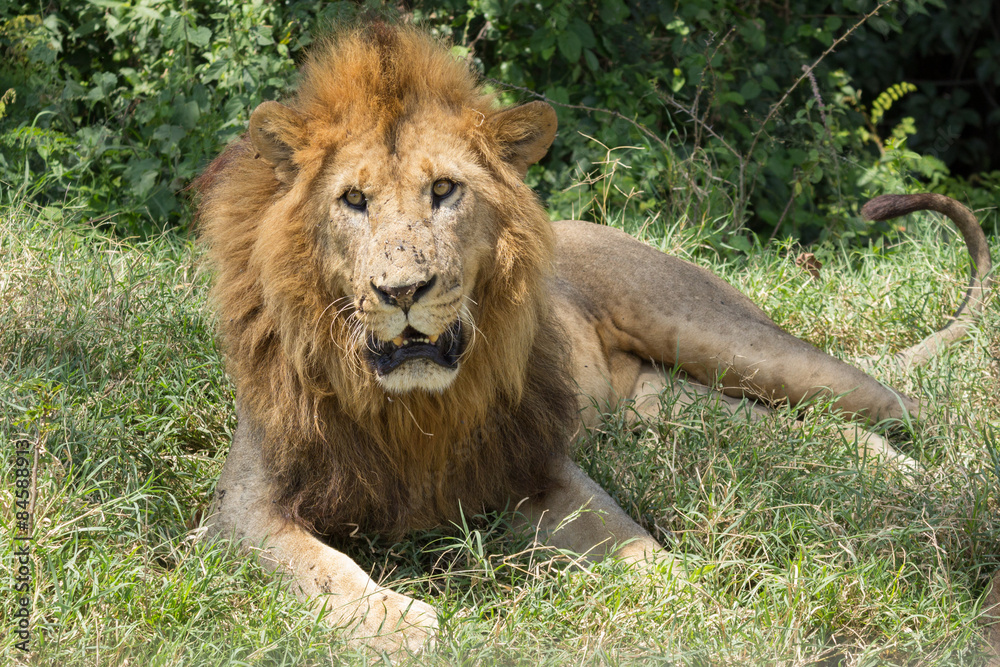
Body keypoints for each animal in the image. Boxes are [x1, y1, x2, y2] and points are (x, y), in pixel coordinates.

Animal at [194, 24, 992, 655]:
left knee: (905, 403)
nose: (403, 292)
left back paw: (953, 488)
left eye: (444, 191)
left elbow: (626, 536)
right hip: (676, 411)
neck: (412, 409)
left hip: (732, 341)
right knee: (816, 432)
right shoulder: (240, 510)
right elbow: (320, 568)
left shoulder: (538, 467)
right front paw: (406, 625)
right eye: (353, 200)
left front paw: (695, 594)